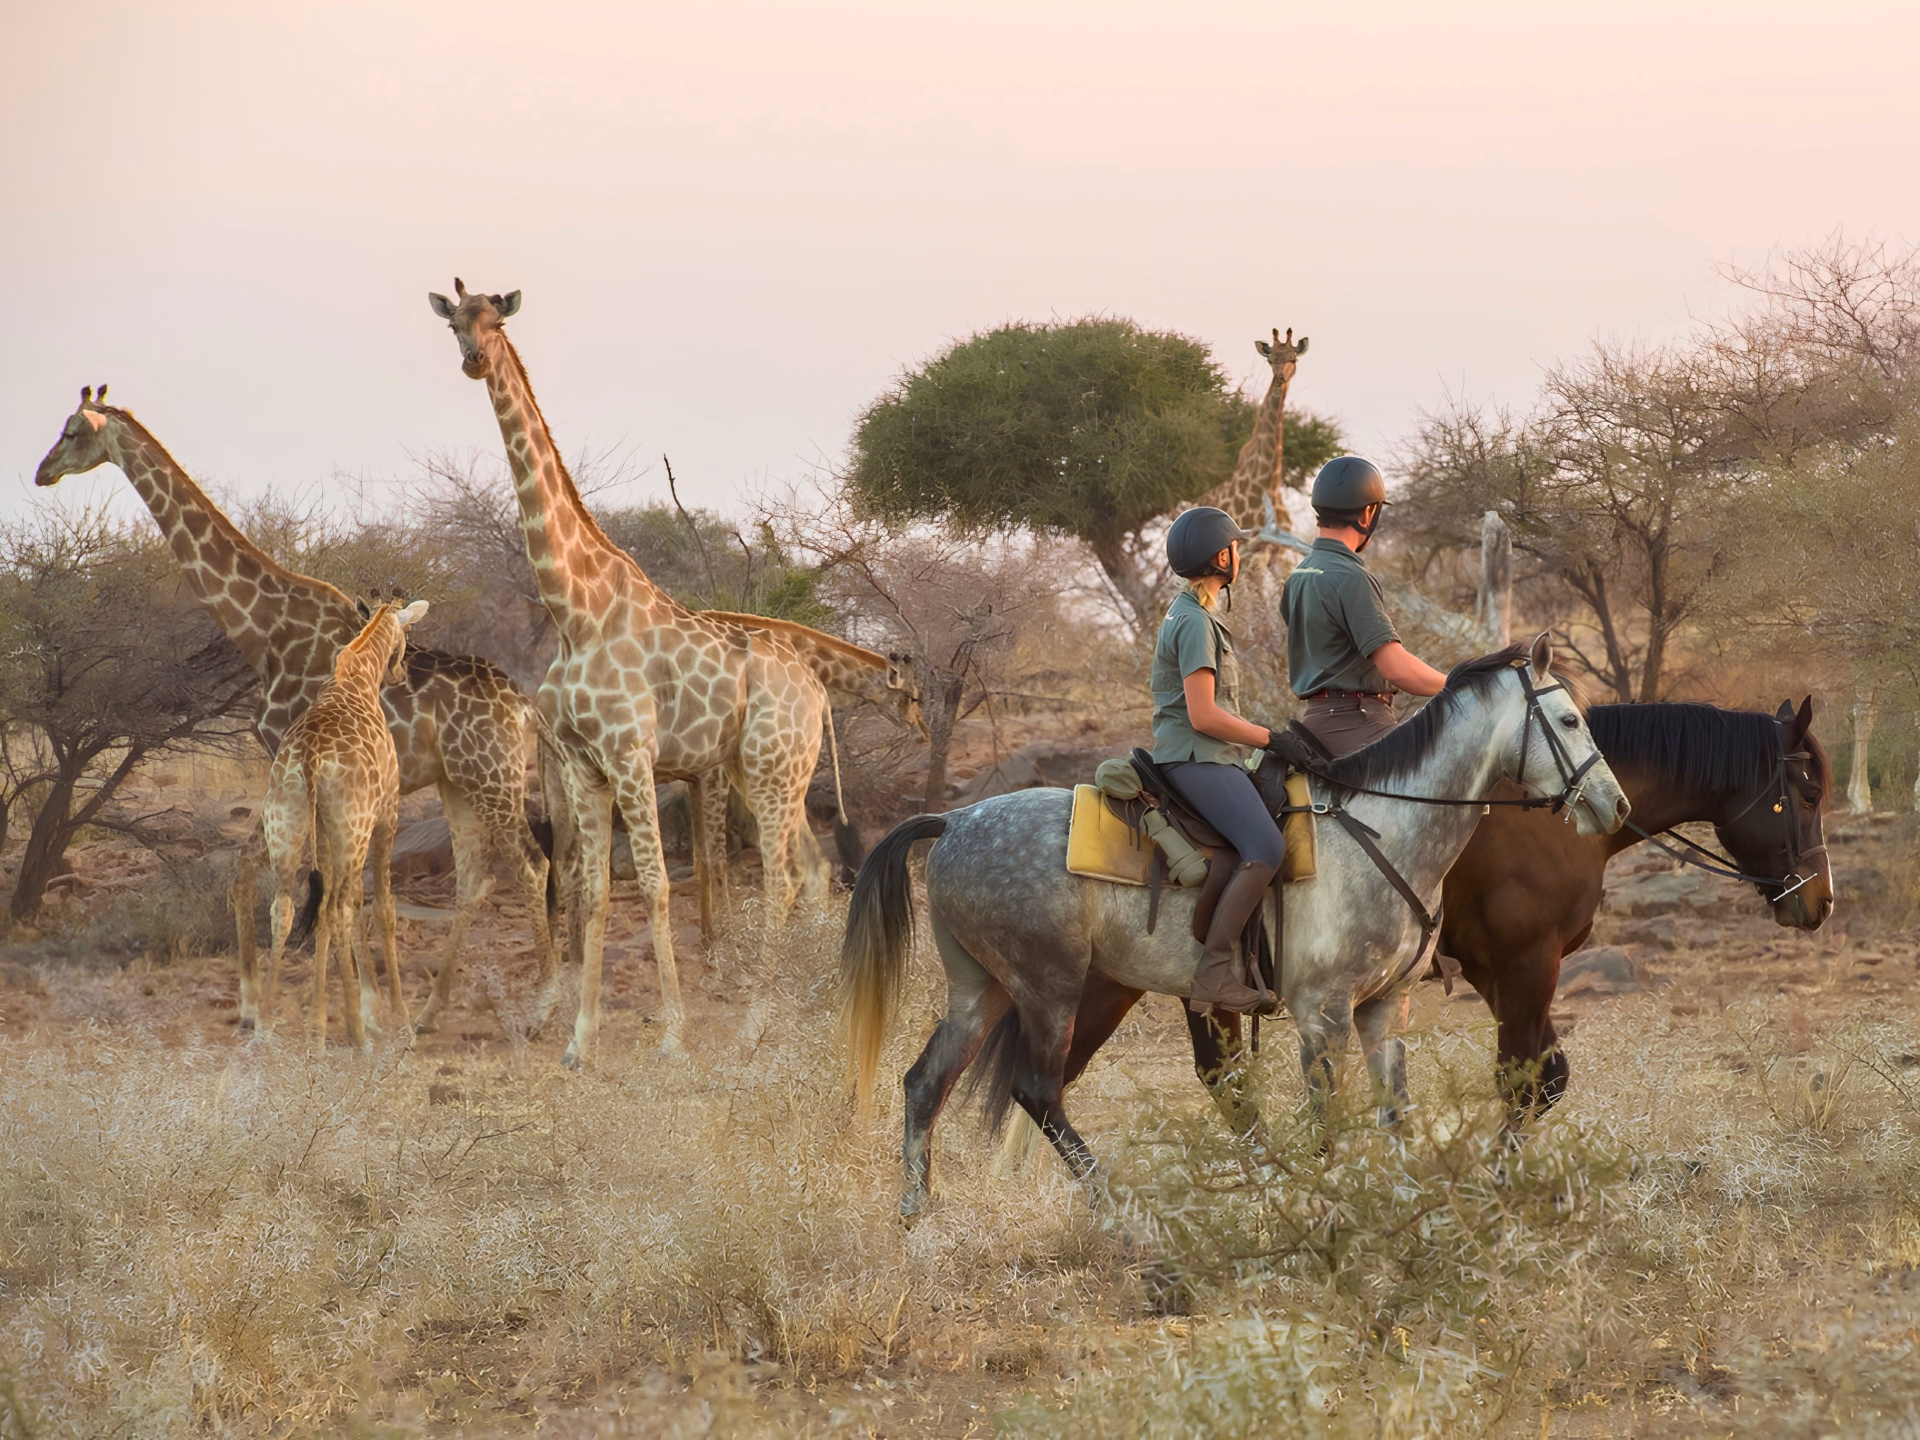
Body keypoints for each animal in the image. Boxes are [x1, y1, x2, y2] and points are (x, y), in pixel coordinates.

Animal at [840, 635, 1632, 1218]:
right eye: (1569, 721)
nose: (1615, 805)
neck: (1383, 826)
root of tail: (952, 821)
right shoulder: (1323, 1013)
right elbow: (1327, 1121)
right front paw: (1325, 1205)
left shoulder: (1384, 1008)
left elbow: (1395, 1114)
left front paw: (1409, 1207)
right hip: (1049, 986)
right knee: (1037, 1090)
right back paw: (1117, 1206)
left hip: (980, 988)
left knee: (925, 1082)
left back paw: (916, 1214)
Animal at [1442, 696, 1834, 1120]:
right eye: (1811, 795)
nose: (1824, 899)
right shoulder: (1526, 963)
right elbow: (1520, 1088)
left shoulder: (1493, 969)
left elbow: (1548, 1081)